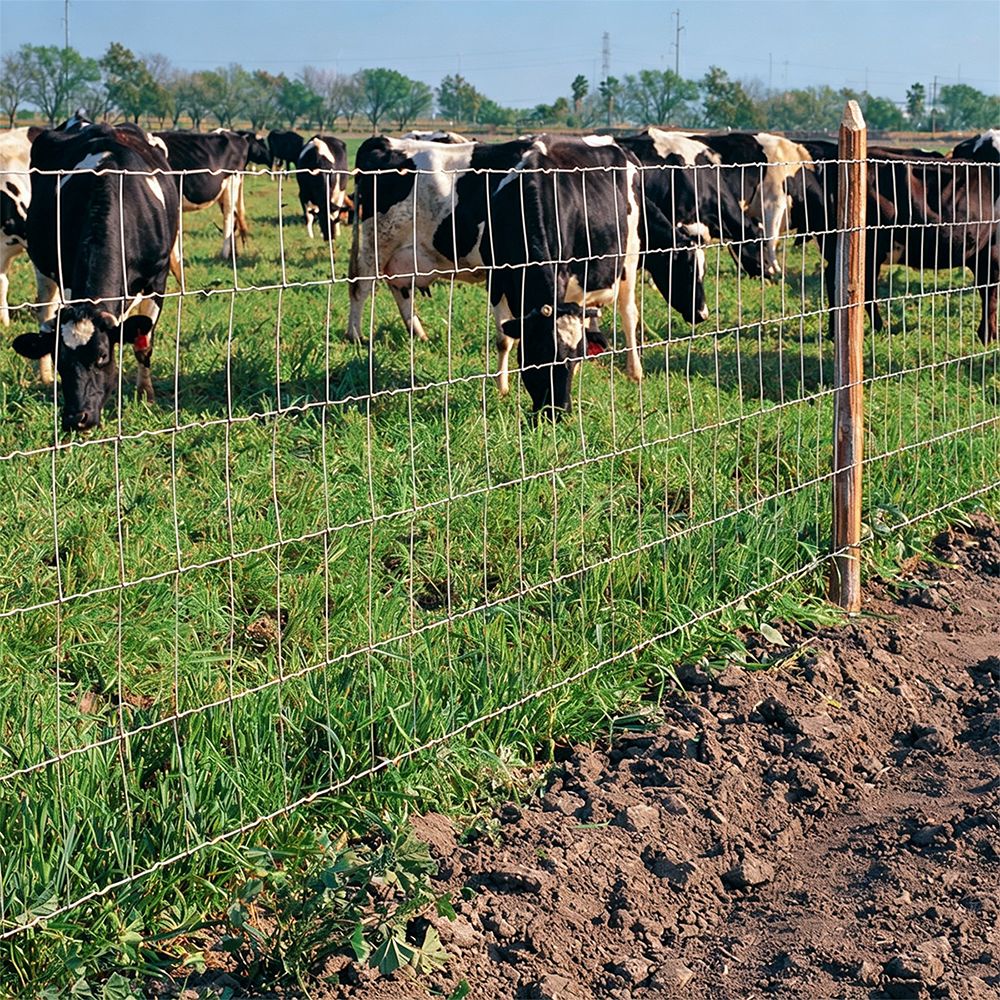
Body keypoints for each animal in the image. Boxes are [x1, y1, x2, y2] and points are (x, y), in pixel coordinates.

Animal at [12, 121, 179, 431]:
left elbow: (143, 344)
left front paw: (145, 396)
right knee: (44, 311)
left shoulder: (157, 279)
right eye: (61, 361)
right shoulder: (67, 278)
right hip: (42, 268)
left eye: (102, 356)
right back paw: (43, 377)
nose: (76, 418)